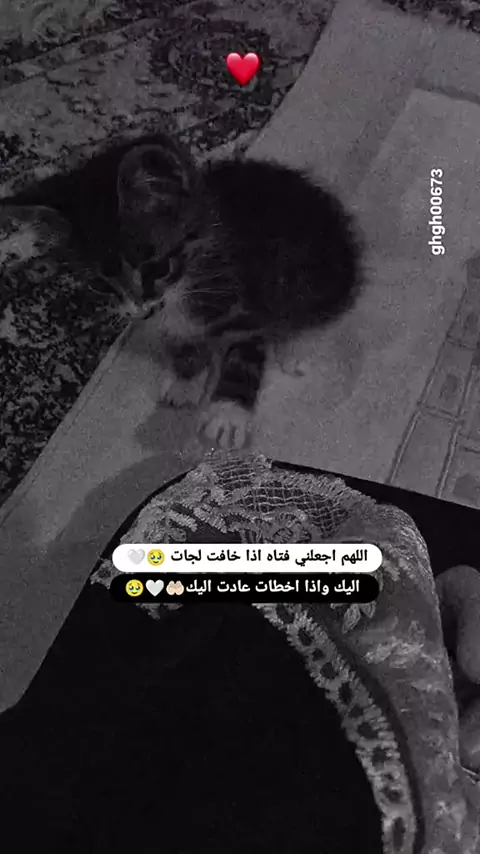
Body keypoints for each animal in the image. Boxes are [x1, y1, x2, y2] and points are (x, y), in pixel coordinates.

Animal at [1, 132, 364, 449]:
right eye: (99, 285)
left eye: (157, 268)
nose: (141, 309)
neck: (188, 278)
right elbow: (183, 342)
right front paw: (186, 379)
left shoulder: (244, 304)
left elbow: (243, 354)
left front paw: (227, 413)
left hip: (311, 274)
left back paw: (295, 346)